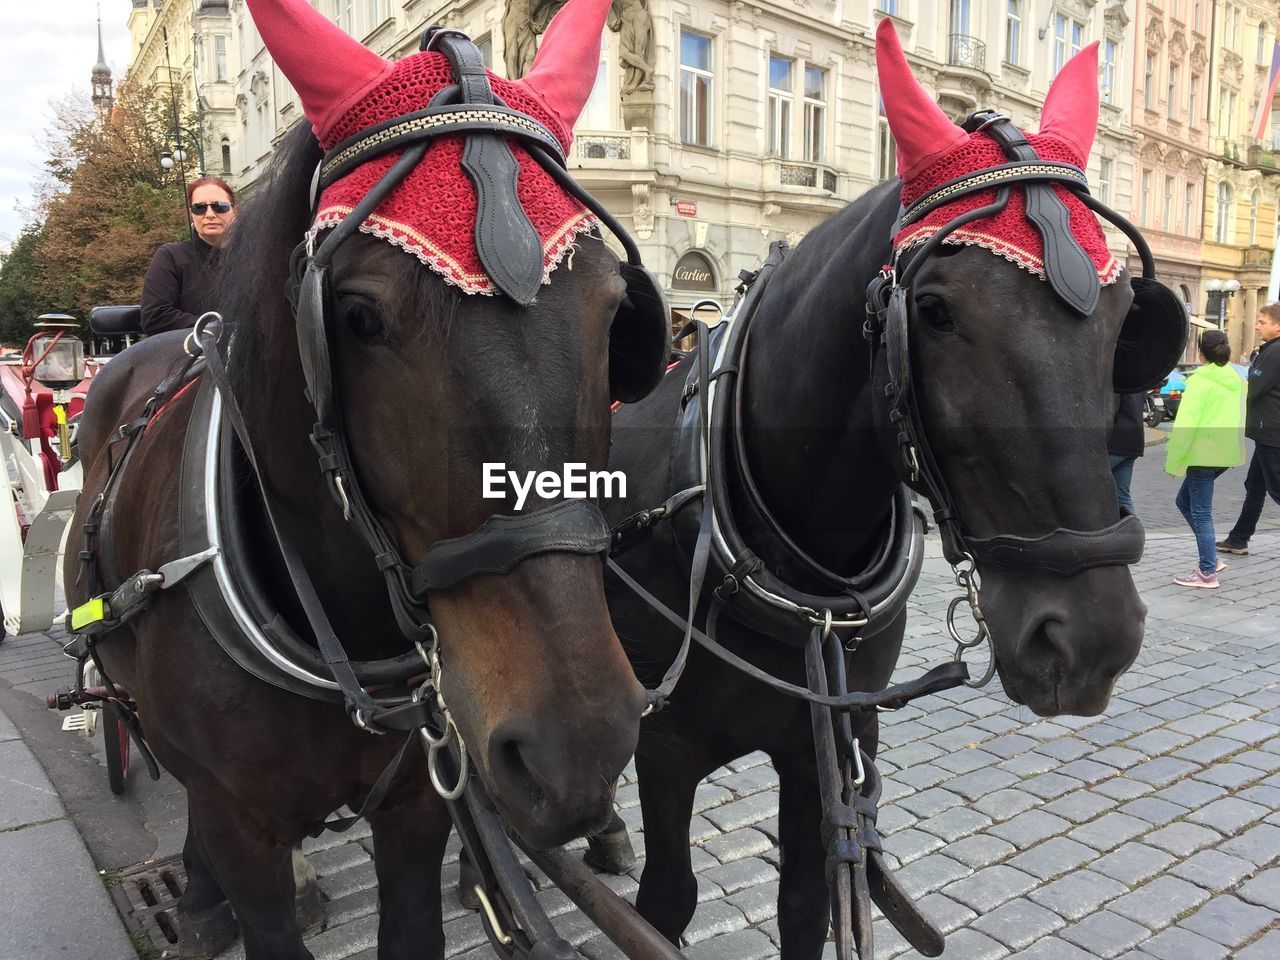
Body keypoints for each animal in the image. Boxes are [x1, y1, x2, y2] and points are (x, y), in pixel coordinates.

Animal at [63, 3, 665, 957]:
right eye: (357, 315)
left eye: (615, 310)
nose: (579, 743)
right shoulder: (240, 824)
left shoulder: (420, 801)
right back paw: (200, 900)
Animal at [593, 22, 1182, 960]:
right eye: (935, 310)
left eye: (1127, 314)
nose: (1091, 641)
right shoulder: (668, 745)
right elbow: (667, 901)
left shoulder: (824, 740)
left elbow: (809, 904)